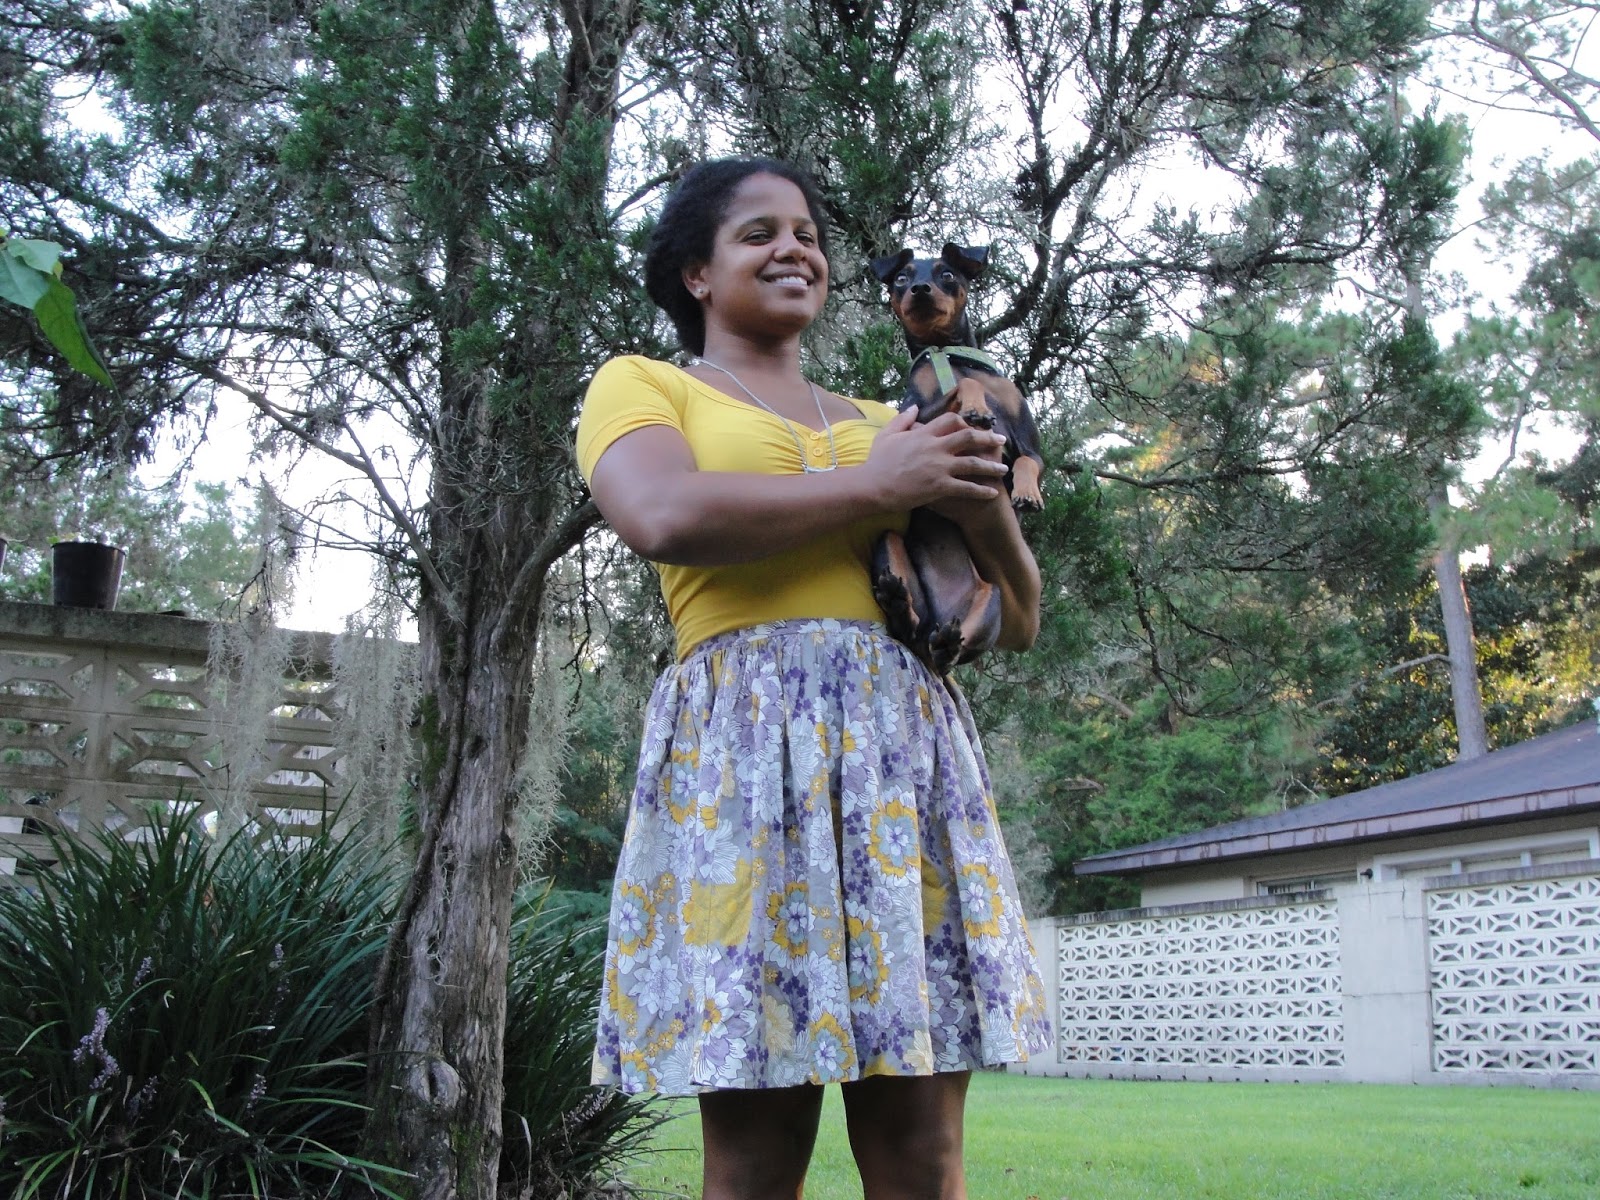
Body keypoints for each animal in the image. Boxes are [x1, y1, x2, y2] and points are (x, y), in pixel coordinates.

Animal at [869, 243, 1045, 674]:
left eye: (947, 274)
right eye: (901, 278)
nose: (919, 289)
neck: (948, 354)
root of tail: (937, 618)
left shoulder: (1030, 443)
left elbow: (1027, 462)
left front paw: (1028, 494)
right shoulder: (915, 418)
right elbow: (961, 388)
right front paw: (975, 406)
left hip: (990, 602)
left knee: (945, 651)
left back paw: (943, 639)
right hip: (888, 544)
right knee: (911, 630)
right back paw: (899, 604)